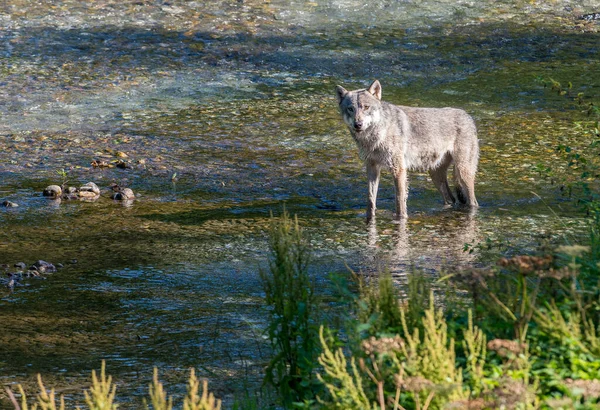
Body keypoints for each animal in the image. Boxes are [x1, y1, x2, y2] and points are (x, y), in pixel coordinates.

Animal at [336, 80, 480, 221]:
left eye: (366, 107)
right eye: (350, 109)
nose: (358, 124)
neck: (376, 136)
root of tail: (468, 116)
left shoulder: (399, 169)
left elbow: (399, 201)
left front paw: (401, 219)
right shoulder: (372, 168)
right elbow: (370, 200)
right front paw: (369, 219)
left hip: (463, 173)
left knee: (473, 202)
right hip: (435, 175)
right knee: (451, 199)